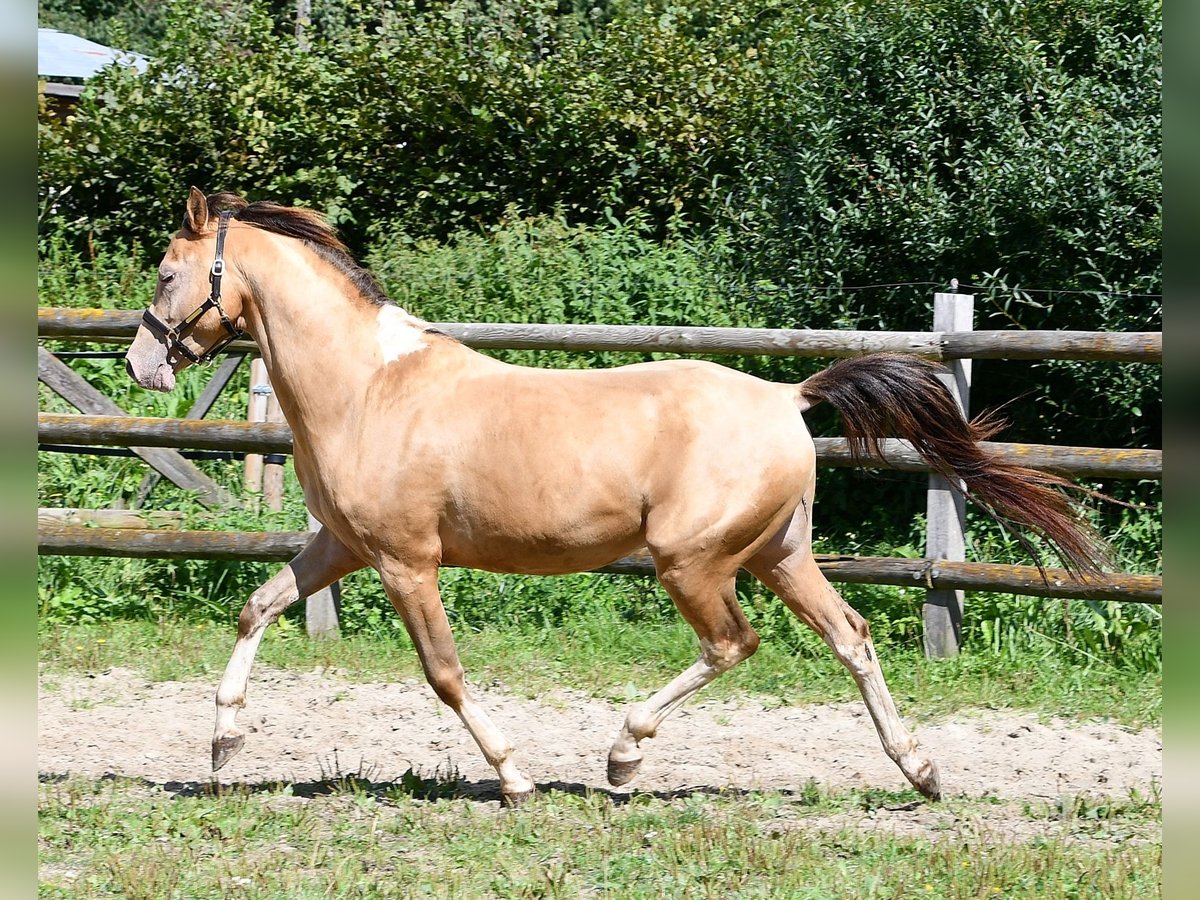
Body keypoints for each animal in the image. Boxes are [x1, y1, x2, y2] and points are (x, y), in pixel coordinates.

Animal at [124, 187, 1104, 806]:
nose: (140, 364)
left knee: (734, 644)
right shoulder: (343, 545)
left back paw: (624, 756)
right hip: (781, 553)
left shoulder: (407, 562)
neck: (369, 388)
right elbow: (256, 606)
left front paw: (515, 778)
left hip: (693, 561)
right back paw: (921, 771)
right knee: (851, 638)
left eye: (168, 274)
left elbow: (444, 673)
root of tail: (788, 399)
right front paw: (221, 751)